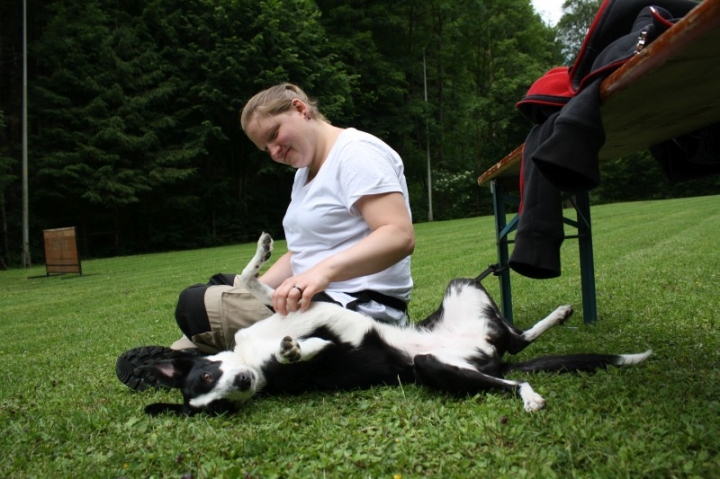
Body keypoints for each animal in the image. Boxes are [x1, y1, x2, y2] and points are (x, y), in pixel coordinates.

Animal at [136, 233, 652, 416]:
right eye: (220, 405)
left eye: (207, 376)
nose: (245, 382)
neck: (250, 355)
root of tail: (487, 355)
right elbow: (310, 348)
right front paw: (296, 351)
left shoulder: (299, 304)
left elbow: (251, 281)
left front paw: (263, 253)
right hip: (437, 367)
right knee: (514, 367)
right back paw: (529, 394)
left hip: (462, 287)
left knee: (515, 336)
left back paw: (556, 314)